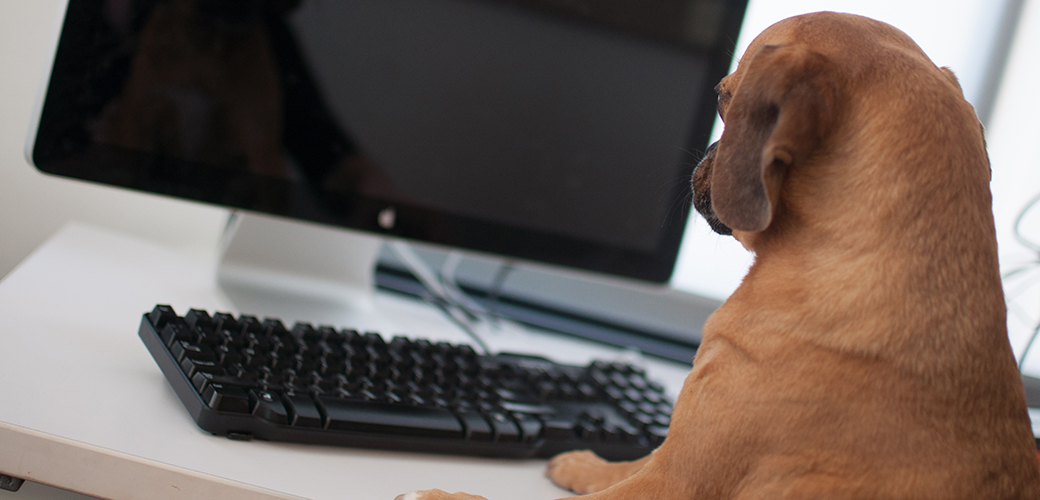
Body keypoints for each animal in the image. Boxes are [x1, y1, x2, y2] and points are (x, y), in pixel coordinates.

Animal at [397, 11, 1040, 498]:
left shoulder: (677, 480)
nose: (704, 156)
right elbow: (632, 461)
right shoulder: (674, 452)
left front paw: (442, 495)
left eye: (723, 99)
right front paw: (586, 463)